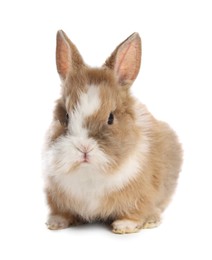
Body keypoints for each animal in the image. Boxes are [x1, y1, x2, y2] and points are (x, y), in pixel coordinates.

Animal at [43, 30, 182, 234]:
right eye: (66, 116)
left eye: (110, 118)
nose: (84, 148)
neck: (91, 172)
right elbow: (62, 212)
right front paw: (56, 223)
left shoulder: (142, 193)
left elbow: (135, 211)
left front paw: (125, 226)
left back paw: (151, 221)